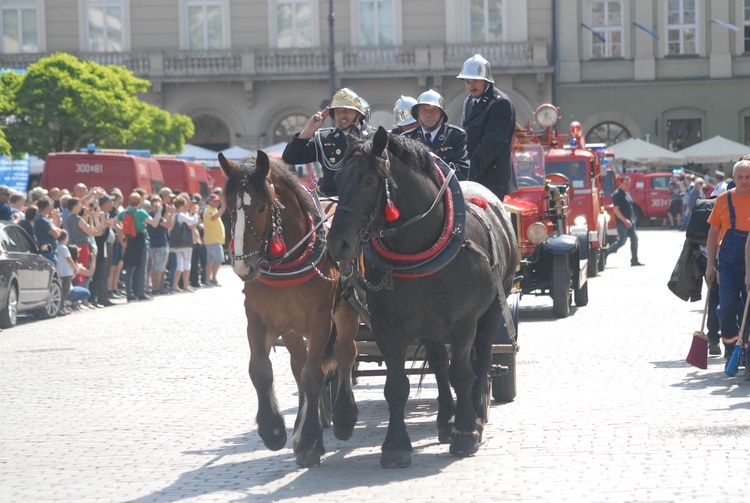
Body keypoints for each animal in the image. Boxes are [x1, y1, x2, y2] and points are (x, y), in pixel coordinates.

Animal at [219, 151, 360, 468]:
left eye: (261, 207)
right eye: (228, 210)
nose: (243, 267)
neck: (289, 262)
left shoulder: (321, 323)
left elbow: (313, 375)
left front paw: (309, 442)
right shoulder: (257, 321)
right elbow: (260, 370)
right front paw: (273, 429)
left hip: (346, 312)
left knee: (345, 353)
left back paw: (343, 416)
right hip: (293, 330)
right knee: (299, 364)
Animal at [328, 127, 516, 468]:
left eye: (369, 180)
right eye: (337, 179)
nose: (337, 243)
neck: (417, 246)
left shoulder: (464, 323)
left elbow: (462, 374)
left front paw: (466, 434)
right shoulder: (386, 326)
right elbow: (397, 384)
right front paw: (395, 446)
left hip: (495, 306)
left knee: (481, 360)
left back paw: (477, 415)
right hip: (429, 324)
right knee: (439, 364)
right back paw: (445, 420)